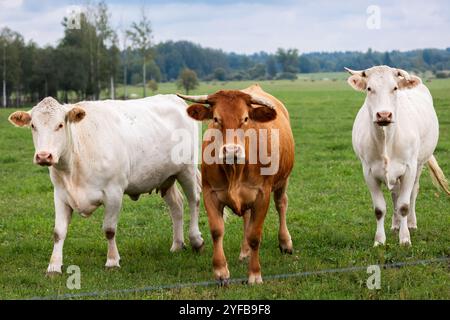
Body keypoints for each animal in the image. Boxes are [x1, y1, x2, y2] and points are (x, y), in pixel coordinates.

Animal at [8, 95, 204, 276]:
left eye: (60, 125)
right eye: (33, 126)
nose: (43, 156)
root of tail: (173, 98)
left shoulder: (113, 192)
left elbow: (109, 230)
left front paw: (112, 261)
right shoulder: (60, 194)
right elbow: (58, 232)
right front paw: (54, 266)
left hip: (187, 169)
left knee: (193, 200)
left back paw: (196, 240)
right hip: (165, 176)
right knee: (176, 206)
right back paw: (177, 245)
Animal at [178, 85, 298, 284]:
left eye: (246, 118)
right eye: (216, 119)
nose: (231, 150)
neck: (234, 170)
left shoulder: (262, 195)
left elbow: (255, 235)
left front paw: (255, 274)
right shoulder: (210, 193)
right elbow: (217, 231)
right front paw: (220, 271)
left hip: (283, 181)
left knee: (281, 204)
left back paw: (285, 242)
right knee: (247, 218)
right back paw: (244, 252)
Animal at [346, 64, 448, 245]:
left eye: (394, 88)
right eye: (369, 88)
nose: (384, 115)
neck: (386, 139)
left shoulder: (409, 168)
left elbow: (404, 206)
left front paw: (405, 239)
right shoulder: (368, 172)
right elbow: (380, 209)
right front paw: (379, 241)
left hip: (419, 164)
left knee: (413, 192)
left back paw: (411, 223)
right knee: (395, 194)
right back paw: (396, 224)